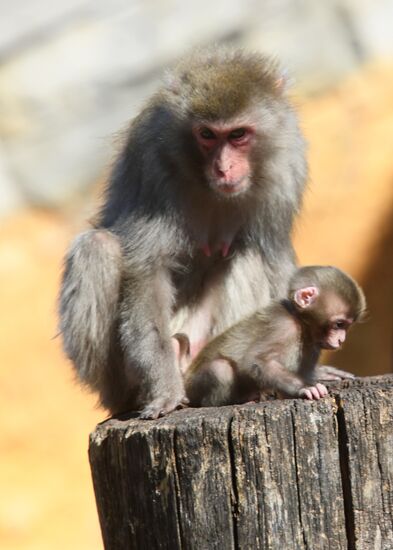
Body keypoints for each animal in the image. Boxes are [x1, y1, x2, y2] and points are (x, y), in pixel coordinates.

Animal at [183, 268, 364, 410]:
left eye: (346, 326)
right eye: (339, 324)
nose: (341, 340)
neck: (301, 323)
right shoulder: (283, 326)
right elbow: (256, 361)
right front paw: (306, 387)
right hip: (194, 388)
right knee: (220, 368)